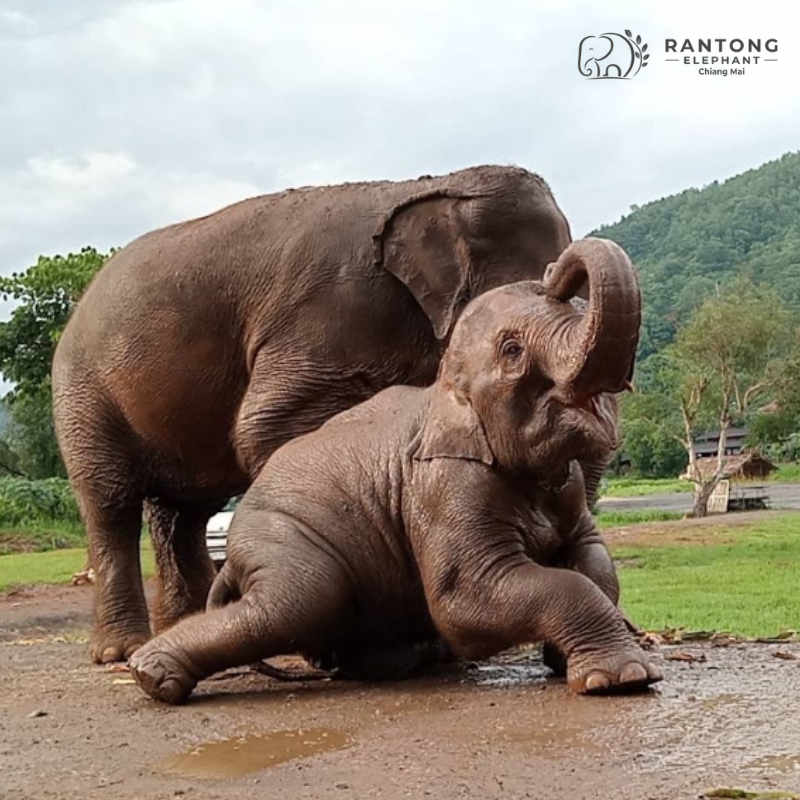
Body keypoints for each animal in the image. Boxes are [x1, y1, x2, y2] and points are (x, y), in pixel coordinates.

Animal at [52, 165, 584, 665]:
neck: (425, 185)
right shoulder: (325, 316)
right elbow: (265, 426)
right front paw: (347, 647)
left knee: (183, 512)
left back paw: (185, 624)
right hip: (82, 393)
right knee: (110, 501)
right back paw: (120, 652)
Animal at [128, 237, 662, 705]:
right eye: (513, 350)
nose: (551, 270)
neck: (444, 386)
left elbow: (593, 558)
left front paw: (570, 662)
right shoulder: (445, 486)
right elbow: (466, 602)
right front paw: (622, 679)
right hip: (280, 536)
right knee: (293, 601)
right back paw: (151, 677)